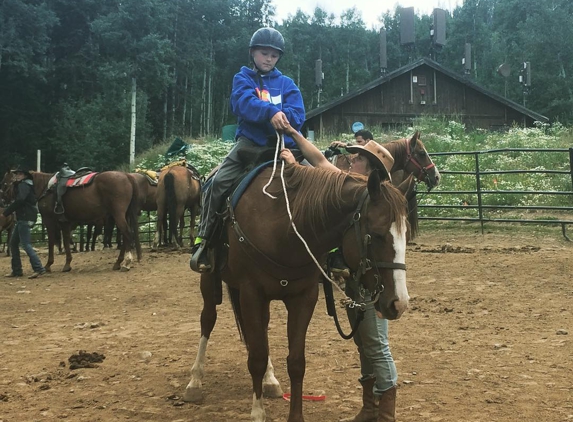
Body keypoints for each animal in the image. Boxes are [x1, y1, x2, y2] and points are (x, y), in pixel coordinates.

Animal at [4, 171, 143, 272]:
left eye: (5, 183)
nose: (4, 201)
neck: (46, 188)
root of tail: (127, 176)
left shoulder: (49, 221)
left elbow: (51, 241)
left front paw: (48, 264)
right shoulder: (64, 223)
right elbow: (66, 241)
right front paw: (67, 264)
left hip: (118, 215)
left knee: (127, 234)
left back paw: (126, 263)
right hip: (124, 215)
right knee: (125, 237)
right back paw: (118, 263)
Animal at [183, 162, 406, 422]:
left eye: (406, 235)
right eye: (377, 235)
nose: (399, 303)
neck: (284, 228)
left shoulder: (304, 298)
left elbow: (296, 362)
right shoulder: (251, 294)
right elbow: (256, 357)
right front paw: (257, 413)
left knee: (262, 330)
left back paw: (270, 380)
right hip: (209, 280)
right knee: (208, 319)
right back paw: (194, 382)